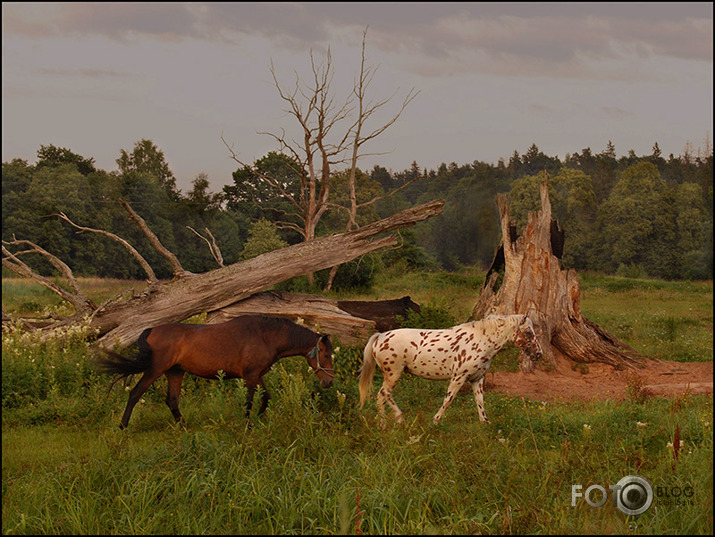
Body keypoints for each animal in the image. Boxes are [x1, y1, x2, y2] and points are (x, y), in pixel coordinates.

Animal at [94, 314, 336, 428]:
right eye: (326, 355)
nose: (329, 382)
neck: (265, 336)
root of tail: (152, 329)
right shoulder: (250, 376)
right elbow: (250, 401)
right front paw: (248, 424)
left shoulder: (257, 375)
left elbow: (265, 398)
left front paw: (258, 420)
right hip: (155, 370)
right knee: (135, 394)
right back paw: (123, 426)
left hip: (175, 372)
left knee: (172, 400)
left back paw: (183, 426)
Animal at [358, 314, 544, 422]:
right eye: (528, 332)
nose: (538, 354)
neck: (481, 341)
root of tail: (380, 337)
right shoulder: (459, 377)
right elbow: (448, 400)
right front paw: (435, 420)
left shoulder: (477, 379)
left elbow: (480, 402)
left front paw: (485, 423)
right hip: (394, 374)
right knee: (383, 394)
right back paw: (391, 421)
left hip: (393, 375)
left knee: (383, 396)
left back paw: (390, 421)